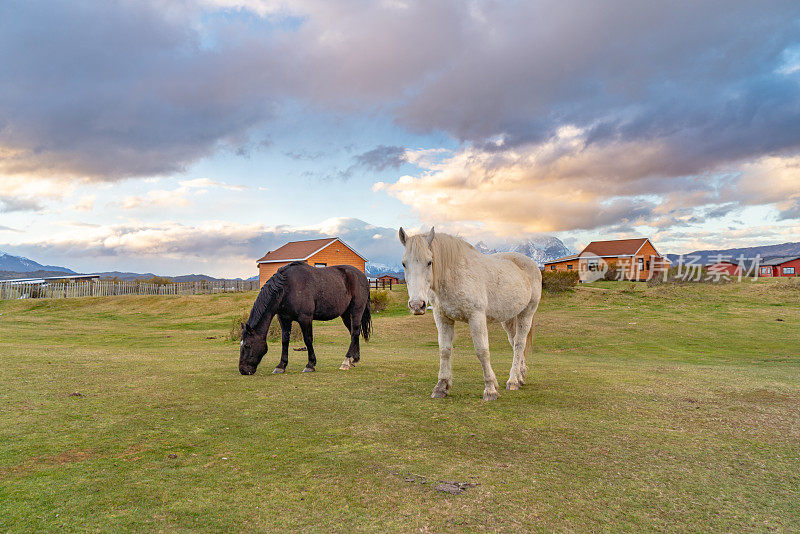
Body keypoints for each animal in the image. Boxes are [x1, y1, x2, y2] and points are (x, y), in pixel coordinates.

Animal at [239, 262, 374, 374]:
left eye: (247, 345)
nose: (243, 370)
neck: (286, 288)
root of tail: (363, 277)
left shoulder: (305, 318)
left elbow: (308, 339)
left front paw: (310, 364)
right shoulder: (284, 319)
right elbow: (285, 340)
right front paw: (281, 365)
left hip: (356, 311)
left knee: (354, 332)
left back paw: (346, 361)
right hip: (345, 314)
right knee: (354, 333)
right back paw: (354, 359)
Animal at [400, 227, 544, 402]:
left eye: (429, 262)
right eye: (404, 263)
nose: (416, 305)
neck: (454, 274)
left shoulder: (476, 317)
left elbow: (482, 351)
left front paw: (490, 389)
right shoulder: (442, 318)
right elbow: (445, 350)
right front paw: (441, 386)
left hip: (527, 313)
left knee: (519, 344)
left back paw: (513, 381)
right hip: (509, 318)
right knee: (514, 342)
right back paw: (520, 376)